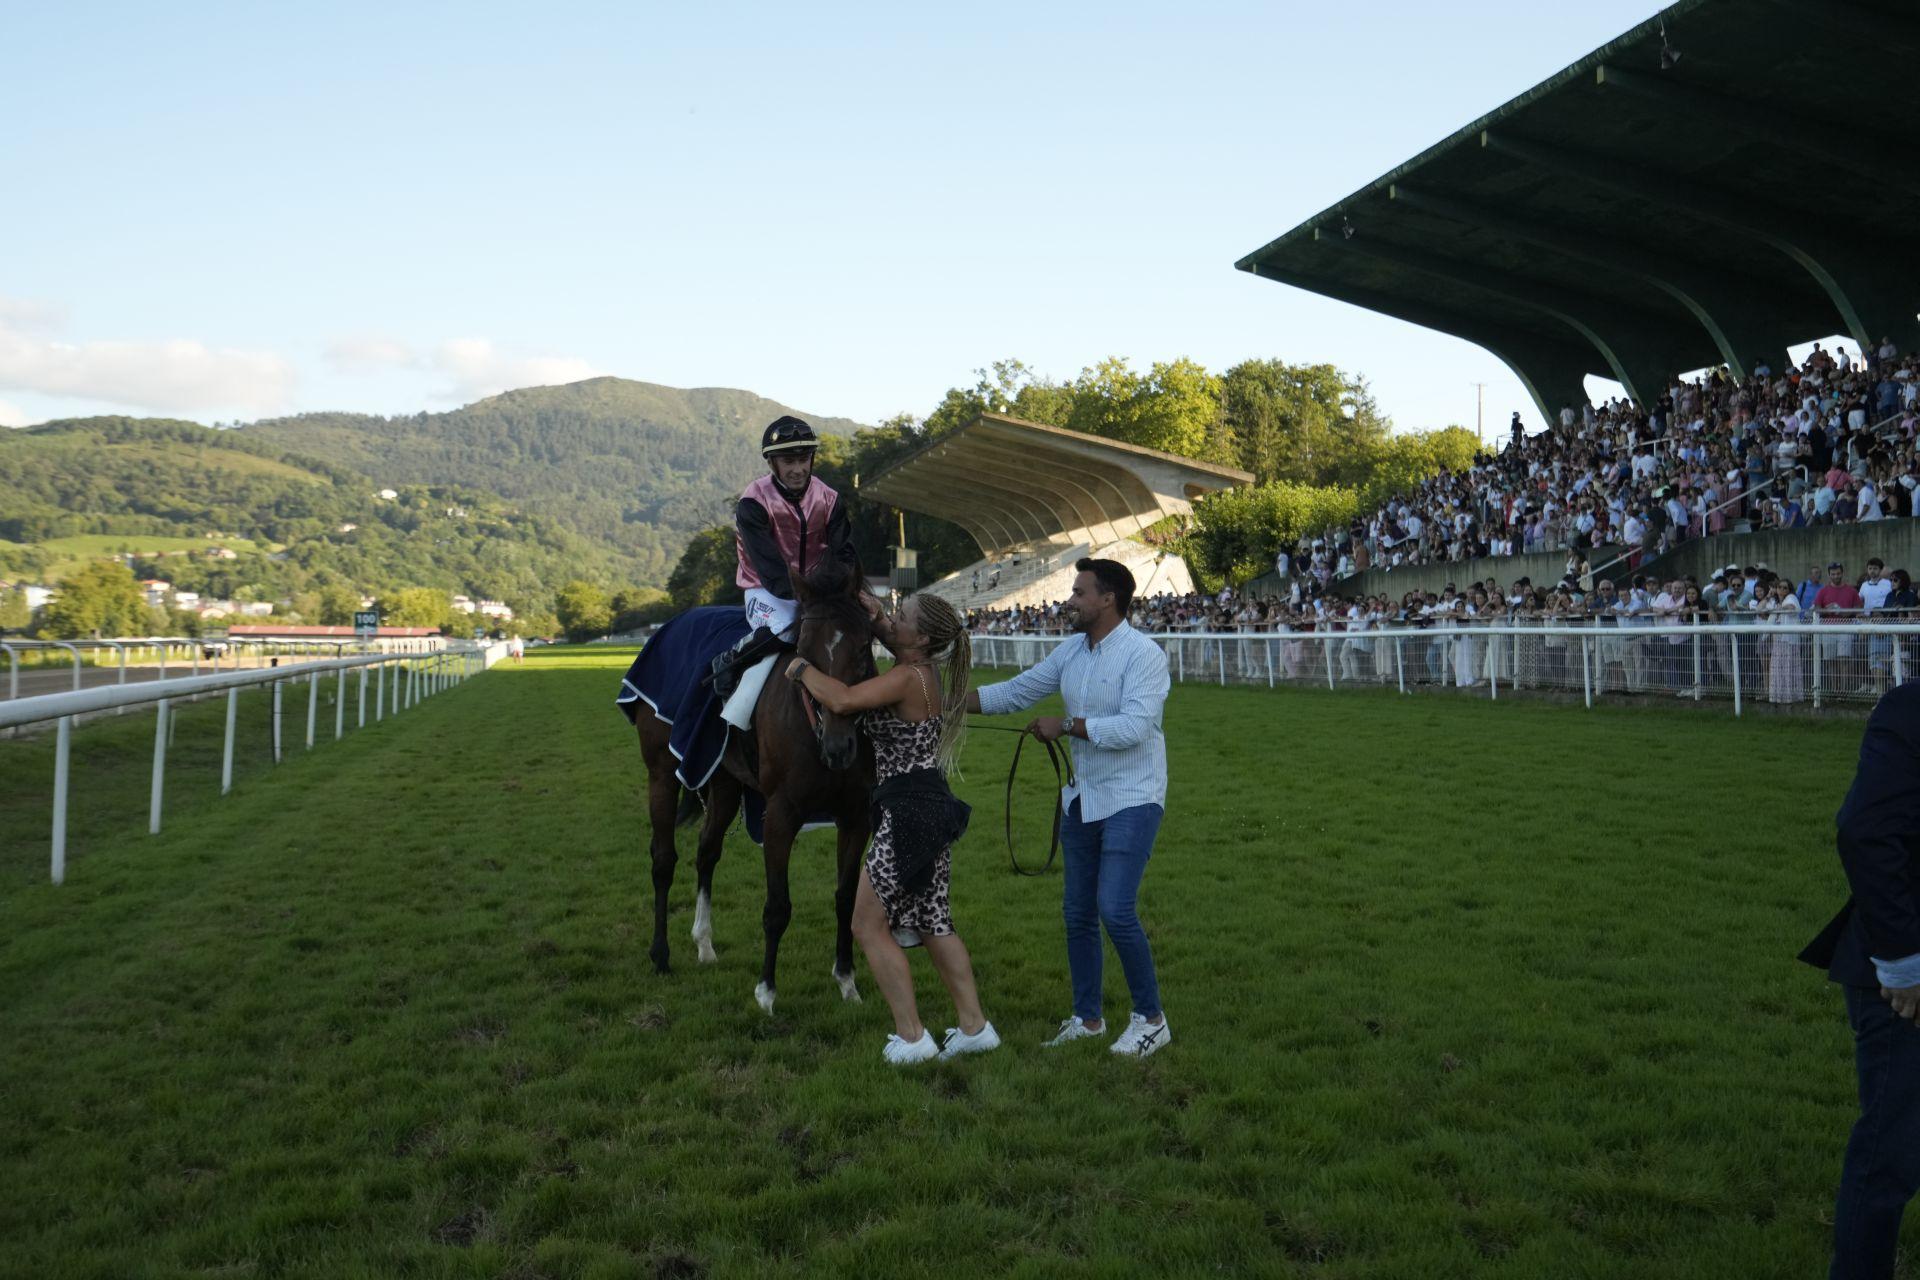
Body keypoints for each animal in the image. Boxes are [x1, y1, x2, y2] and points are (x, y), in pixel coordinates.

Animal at [633, 564, 879, 1013]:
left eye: (863, 649)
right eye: (804, 654)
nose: (839, 748)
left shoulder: (855, 816)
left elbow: (845, 898)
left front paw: (847, 982)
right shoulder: (780, 814)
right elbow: (777, 906)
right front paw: (766, 992)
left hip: (725, 782)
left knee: (706, 852)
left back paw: (704, 943)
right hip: (661, 771)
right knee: (663, 859)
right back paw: (660, 954)